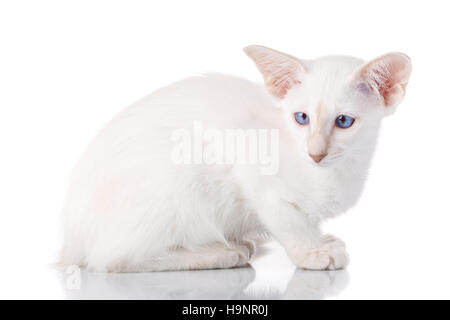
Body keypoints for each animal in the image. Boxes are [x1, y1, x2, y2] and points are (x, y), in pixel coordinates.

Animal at [59, 45, 412, 272]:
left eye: (344, 122)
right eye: (301, 118)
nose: (316, 152)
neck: (334, 172)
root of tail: (71, 236)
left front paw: (321, 239)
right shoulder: (252, 171)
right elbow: (290, 221)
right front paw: (313, 251)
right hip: (177, 173)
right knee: (112, 259)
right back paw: (221, 253)